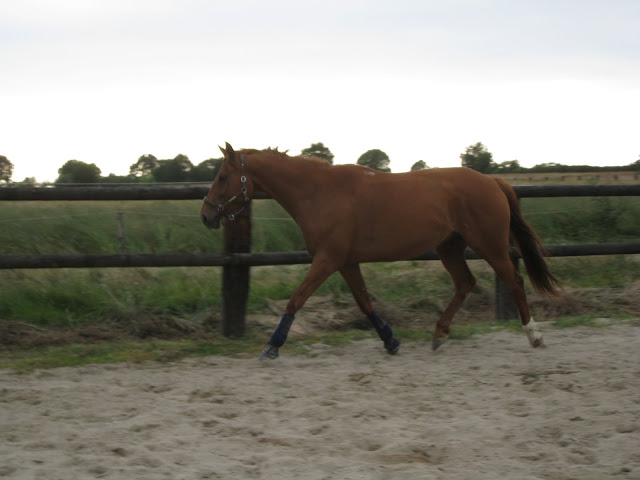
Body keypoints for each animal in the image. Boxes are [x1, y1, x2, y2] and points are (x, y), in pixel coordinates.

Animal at [201, 143, 560, 360]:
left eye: (222, 177)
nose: (206, 216)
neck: (321, 193)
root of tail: (493, 181)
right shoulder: (345, 261)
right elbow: (365, 302)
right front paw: (390, 340)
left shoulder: (327, 259)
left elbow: (296, 300)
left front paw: (272, 346)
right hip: (449, 247)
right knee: (465, 283)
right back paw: (439, 334)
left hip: (491, 246)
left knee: (513, 282)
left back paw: (534, 336)